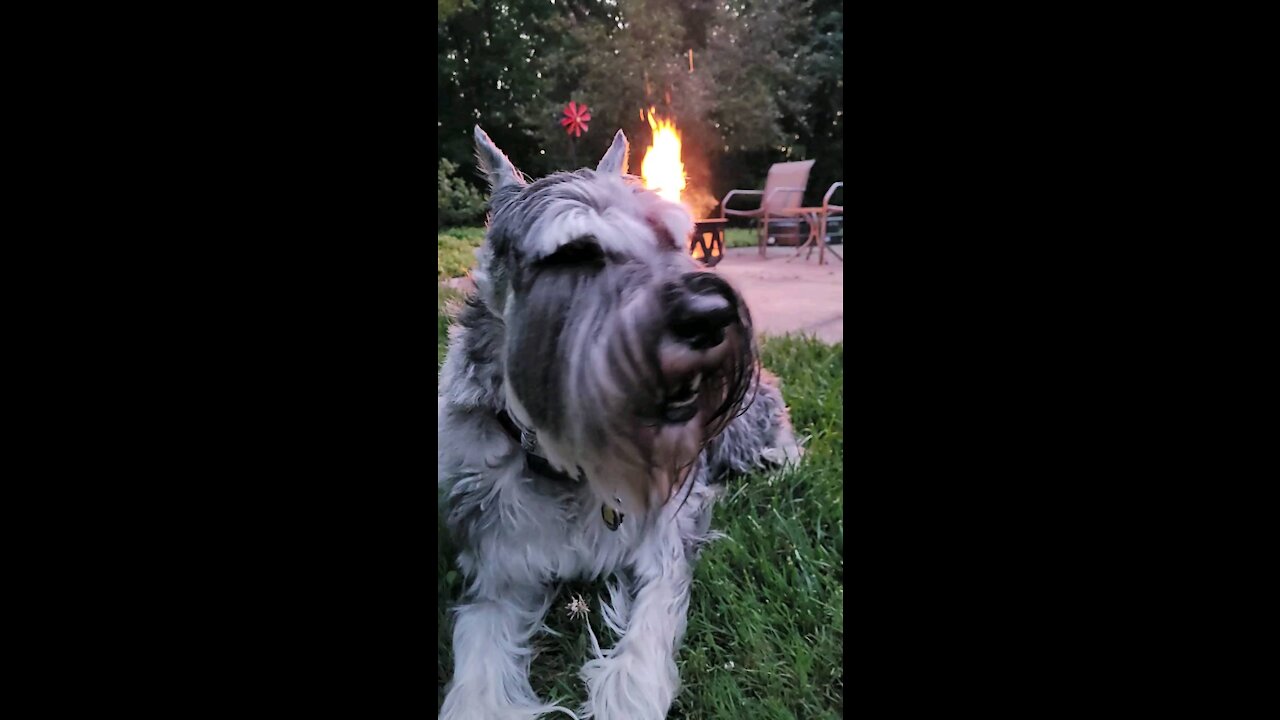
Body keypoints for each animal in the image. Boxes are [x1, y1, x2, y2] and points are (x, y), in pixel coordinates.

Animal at [440, 126, 798, 712]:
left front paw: (627, 694)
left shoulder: (666, 534)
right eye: (576, 253)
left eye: (671, 241)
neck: (568, 463)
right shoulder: (496, 570)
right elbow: (478, 663)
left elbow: (650, 626)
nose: (711, 316)